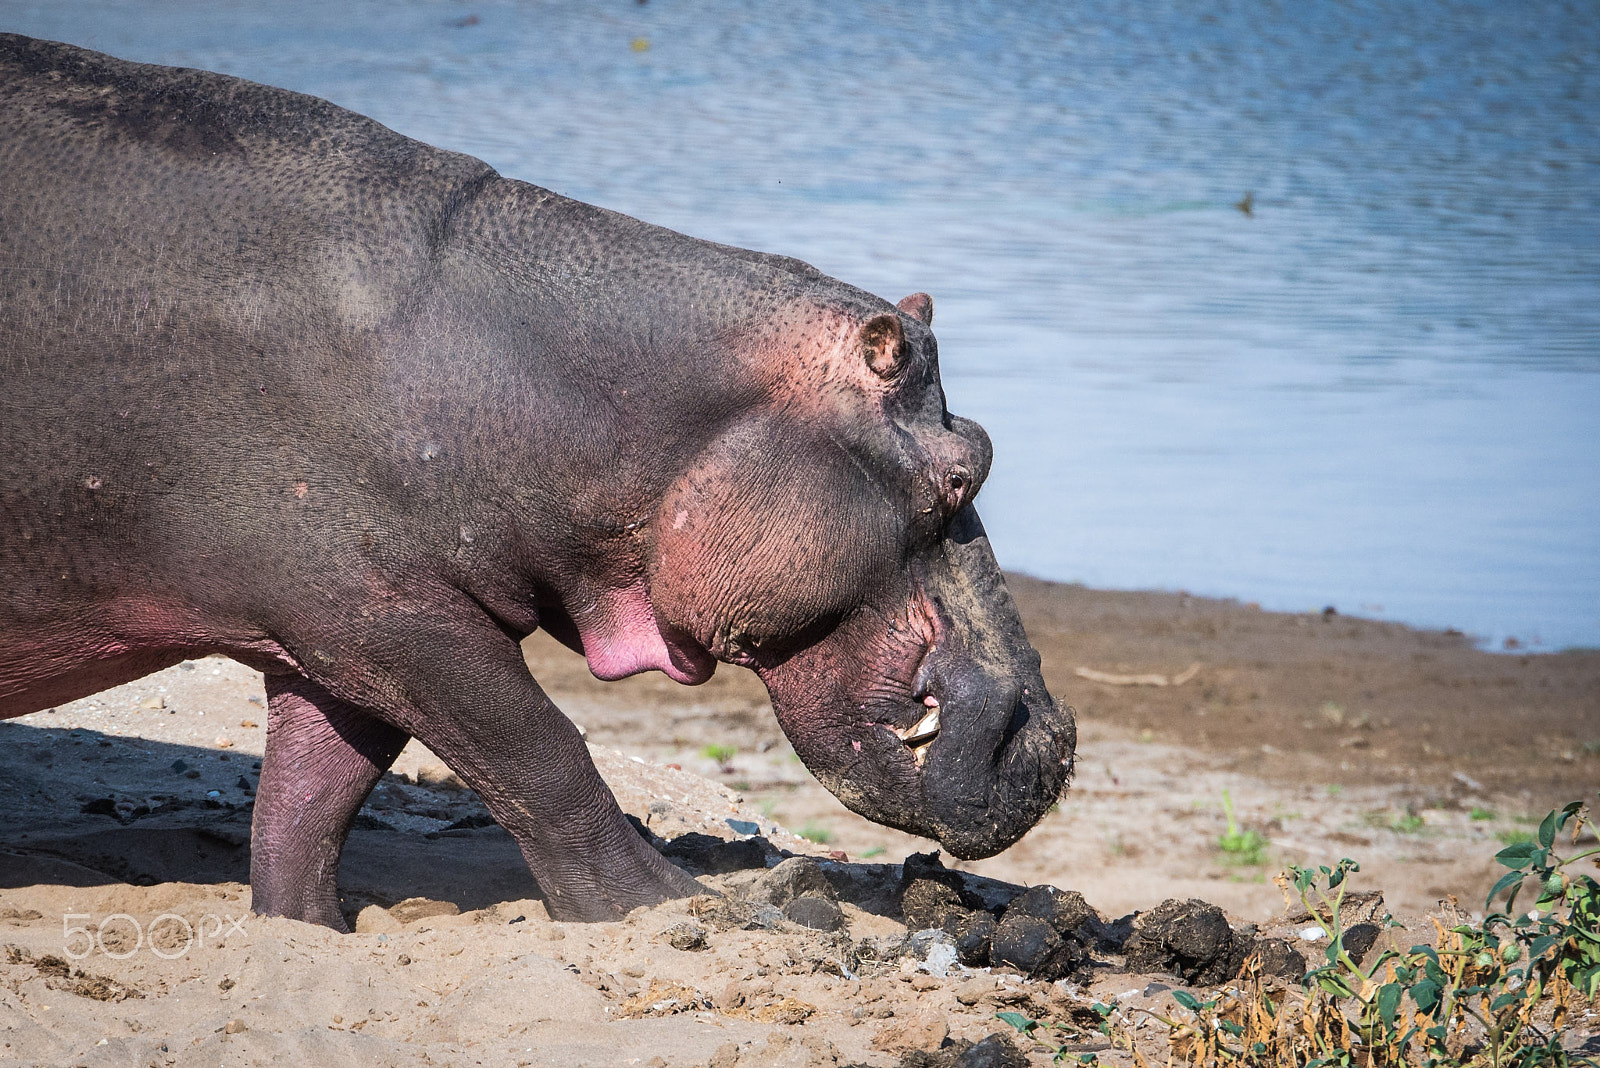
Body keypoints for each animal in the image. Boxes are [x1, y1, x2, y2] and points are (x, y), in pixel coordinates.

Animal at [0, 34, 1075, 927]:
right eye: (963, 471)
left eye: (983, 446)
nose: (1054, 741)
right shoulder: (390, 618)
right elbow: (540, 751)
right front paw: (674, 905)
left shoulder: (339, 630)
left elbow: (309, 803)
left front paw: (303, 935)